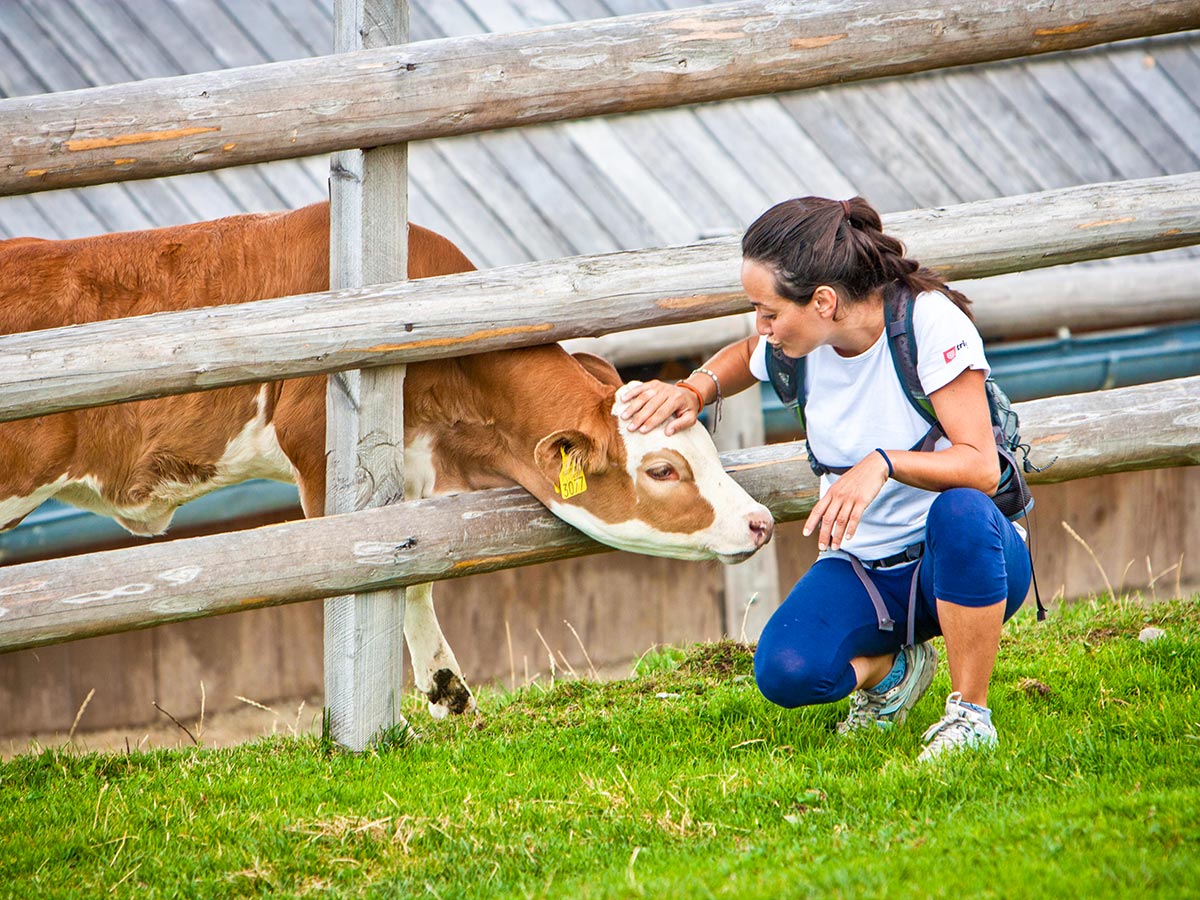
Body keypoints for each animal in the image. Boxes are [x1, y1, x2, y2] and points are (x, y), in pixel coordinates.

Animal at [0, 204, 772, 720]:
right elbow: (356, 571)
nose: (761, 522)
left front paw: (446, 690)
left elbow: (415, 572)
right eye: (663, 470)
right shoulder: (323, 467)